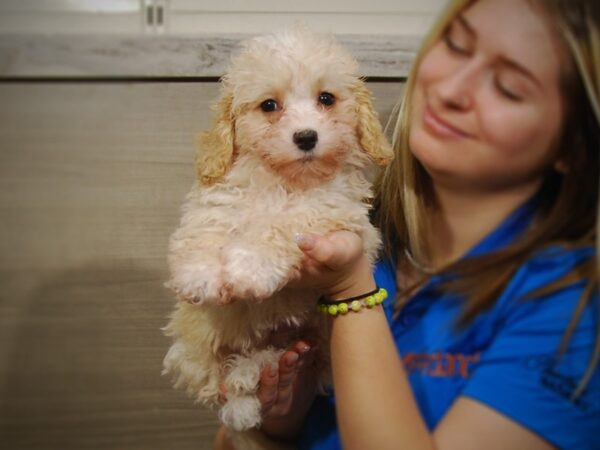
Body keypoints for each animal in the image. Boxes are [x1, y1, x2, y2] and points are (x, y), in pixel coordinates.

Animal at [163, 27, 394, 432]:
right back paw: (238, 393)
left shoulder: (337, 212)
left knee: (268, 364)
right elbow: (208, 222)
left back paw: (246, 378)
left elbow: (286, 222)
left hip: (310, 340)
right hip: (191, 339)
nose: (306, 137)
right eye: (269, 105)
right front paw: (199, 273)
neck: (282, 182)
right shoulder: (221, 194)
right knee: (210, 377)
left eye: (326, 99)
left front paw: (250, 267)